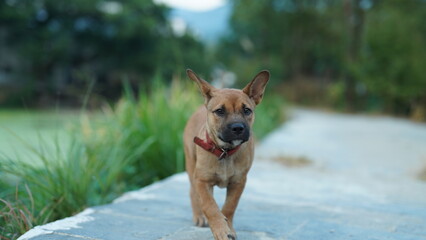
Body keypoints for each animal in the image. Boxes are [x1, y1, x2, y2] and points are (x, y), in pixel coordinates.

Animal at [183, 68, 270, 239]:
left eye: (247, 110)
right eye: (220, 111)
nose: (238, 128)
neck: (225, 151)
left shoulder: (239, 182)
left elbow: (229, 207)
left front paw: (227, 226)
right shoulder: (202, 181)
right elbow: (209, 206)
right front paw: (220, 229)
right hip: (191, 166)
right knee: (193, 193)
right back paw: (199, 216)